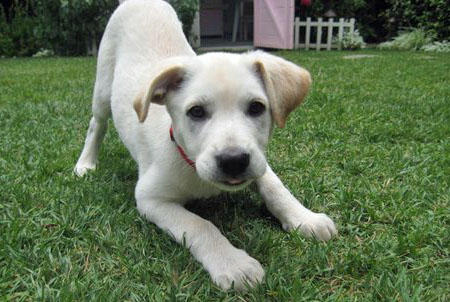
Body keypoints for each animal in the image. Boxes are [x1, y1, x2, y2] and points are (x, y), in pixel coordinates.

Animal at [75, 0, 338, 292]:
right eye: (196, 112)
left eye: (257, 107)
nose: (234, 161)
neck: (190, 163)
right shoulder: (150, 198)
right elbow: (200, 225)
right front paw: (233, 263)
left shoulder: (258, 160)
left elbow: (275, 187)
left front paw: (304, 218)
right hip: (103, 87)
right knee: (96, 125)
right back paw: (86, 163)